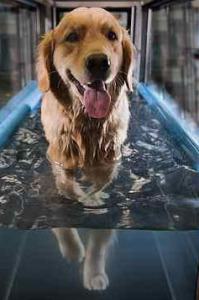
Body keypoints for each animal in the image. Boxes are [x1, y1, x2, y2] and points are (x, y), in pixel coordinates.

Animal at [36, 7, 135, 290]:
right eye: (71, 37)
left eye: (112, 35)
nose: (100, 62)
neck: (87, 124)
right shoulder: (56, 159)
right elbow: (67, 191)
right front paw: (73, 250)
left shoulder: (109, 160)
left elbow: (99, 237)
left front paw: (93, 272)